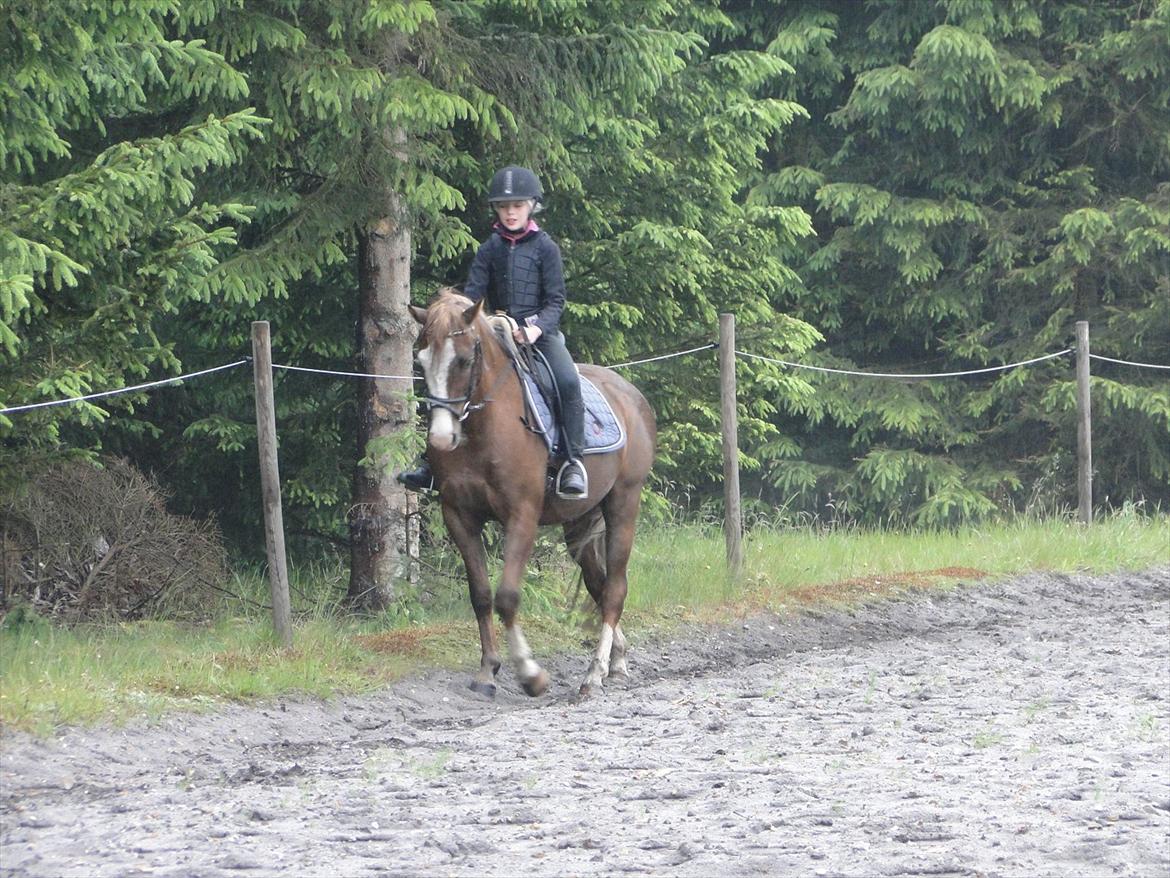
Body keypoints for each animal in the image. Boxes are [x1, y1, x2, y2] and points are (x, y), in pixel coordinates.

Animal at [407, 292, 655, 697]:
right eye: (421, 361)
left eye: (463, 360)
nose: (442, 439)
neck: (484, 430)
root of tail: (631, 395)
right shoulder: (459, 515)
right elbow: (481, 595)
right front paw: (487, 671)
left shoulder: (521, 514)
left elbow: (507, 596)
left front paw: (530, 674)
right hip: (579, 521)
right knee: (599, 585)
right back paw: (615, 661)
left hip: (623, 503)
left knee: (615, 588)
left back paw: (594, 673)